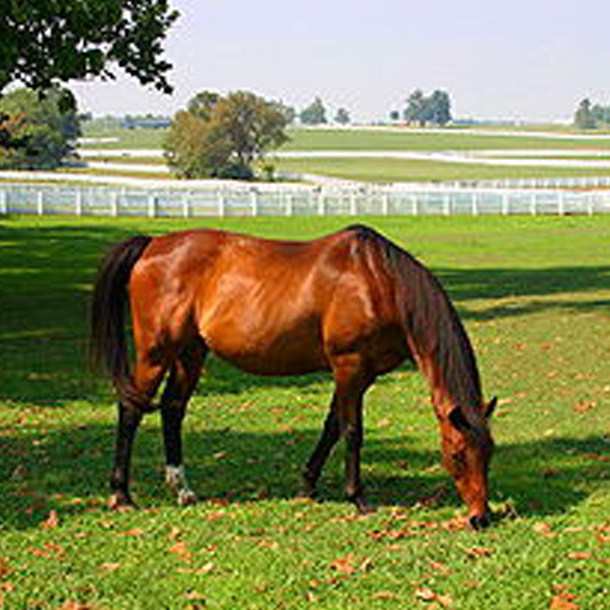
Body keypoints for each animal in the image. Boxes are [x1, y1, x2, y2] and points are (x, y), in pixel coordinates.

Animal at [90, 223, 494, 528]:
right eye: (458, 454)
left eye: (489, 452)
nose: (480, 517)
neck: (379, 282)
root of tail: (152, 244)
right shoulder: (350, 367)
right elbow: (352, 431)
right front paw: (358, 497)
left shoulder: (357, 374)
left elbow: (332, 426)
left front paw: (307, 486)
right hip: (156, 353)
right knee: (131, 409)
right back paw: (121, 494)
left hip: (190, 353)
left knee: (173, 408)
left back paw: (183, 489)